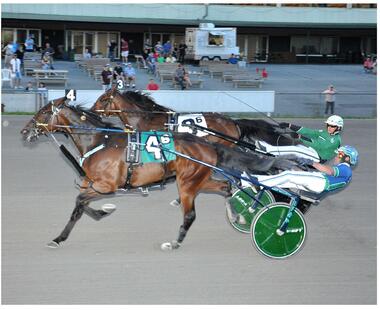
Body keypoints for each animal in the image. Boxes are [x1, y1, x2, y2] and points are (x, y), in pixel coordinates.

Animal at [21, 98, 294, 249]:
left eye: (43, 112)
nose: (24, 131)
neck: (101, 139)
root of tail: (208, 143)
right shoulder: (93, 183)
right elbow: (80, 204)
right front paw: (100, 213)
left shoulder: (106, 185)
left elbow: (79, 202)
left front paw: (61, 236)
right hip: (200, 179)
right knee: (226, 188)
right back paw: (238, 216)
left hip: (188, 183)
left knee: (191, 214)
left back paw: (175, 242)